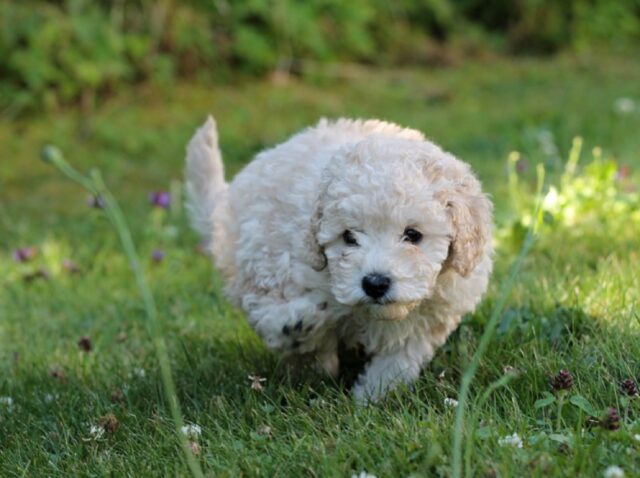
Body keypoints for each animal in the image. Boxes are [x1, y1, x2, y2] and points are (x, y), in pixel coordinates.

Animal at [186, 116, 496, 404]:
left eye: (413, 235)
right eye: (348, 236)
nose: (375, 283)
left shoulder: (428, 318)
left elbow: (397, 360)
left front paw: (371, 398)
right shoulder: (274, 269)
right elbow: (279, 319)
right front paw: (296, 328)